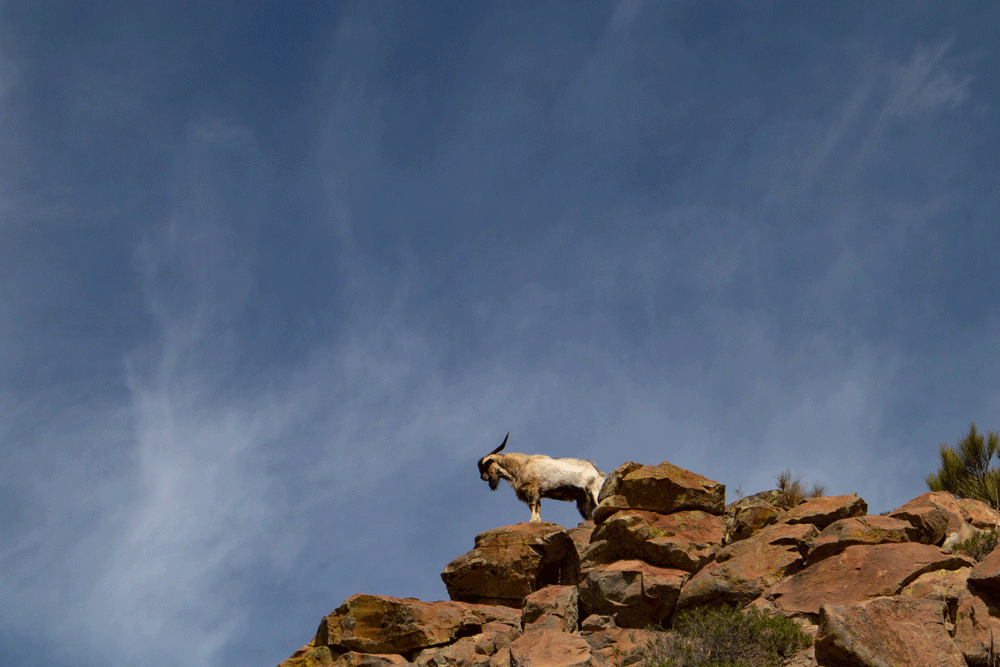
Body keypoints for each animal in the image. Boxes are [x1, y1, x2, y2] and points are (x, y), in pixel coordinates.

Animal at [477, 432, 606, 522]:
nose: (482, 477)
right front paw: (537, 520)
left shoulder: (532, 489)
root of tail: (597, 471)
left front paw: (532, 520)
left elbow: (533, 505)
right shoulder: (538, 492)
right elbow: (538, 507)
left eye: (485, 465)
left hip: (594, 490)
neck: (522, 466)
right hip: (583, 500)